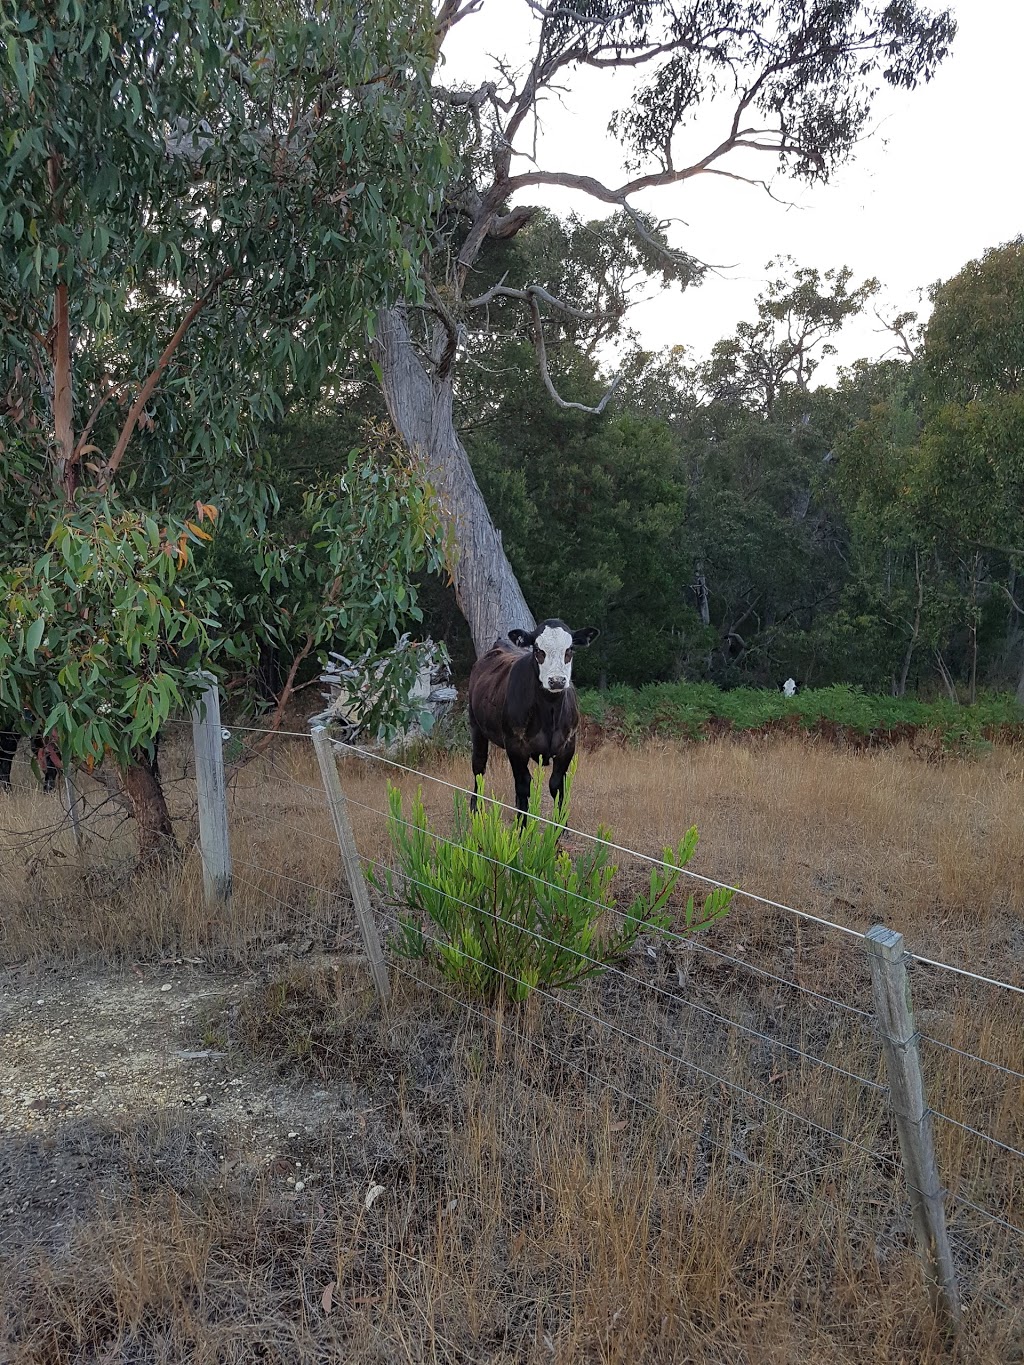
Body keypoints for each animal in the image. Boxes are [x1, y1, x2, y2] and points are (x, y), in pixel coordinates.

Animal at [466, 622, 600, 819]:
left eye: (569, 649)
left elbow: (557, 785)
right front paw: (521, 824)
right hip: (476, 726)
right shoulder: (515, 744)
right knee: (479, 767)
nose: (557, 681)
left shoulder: (568, 744)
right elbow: (523, 785)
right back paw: (475, 808)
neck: (549, 711)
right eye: (538, 650)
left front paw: (560, 824)